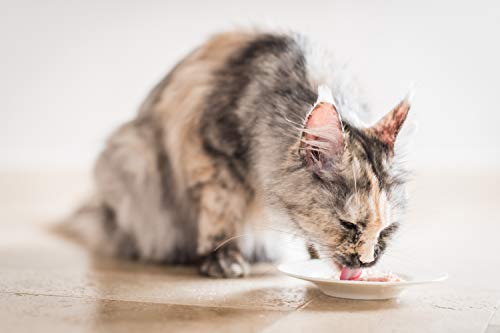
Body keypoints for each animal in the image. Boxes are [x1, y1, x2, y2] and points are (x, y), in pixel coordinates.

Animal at [64, 29, 410, 278]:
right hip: (134, 157)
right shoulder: (211, 154)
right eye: (348, 225)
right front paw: (222, 260)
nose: (367, 262)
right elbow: (220, 213)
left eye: (388, 230)